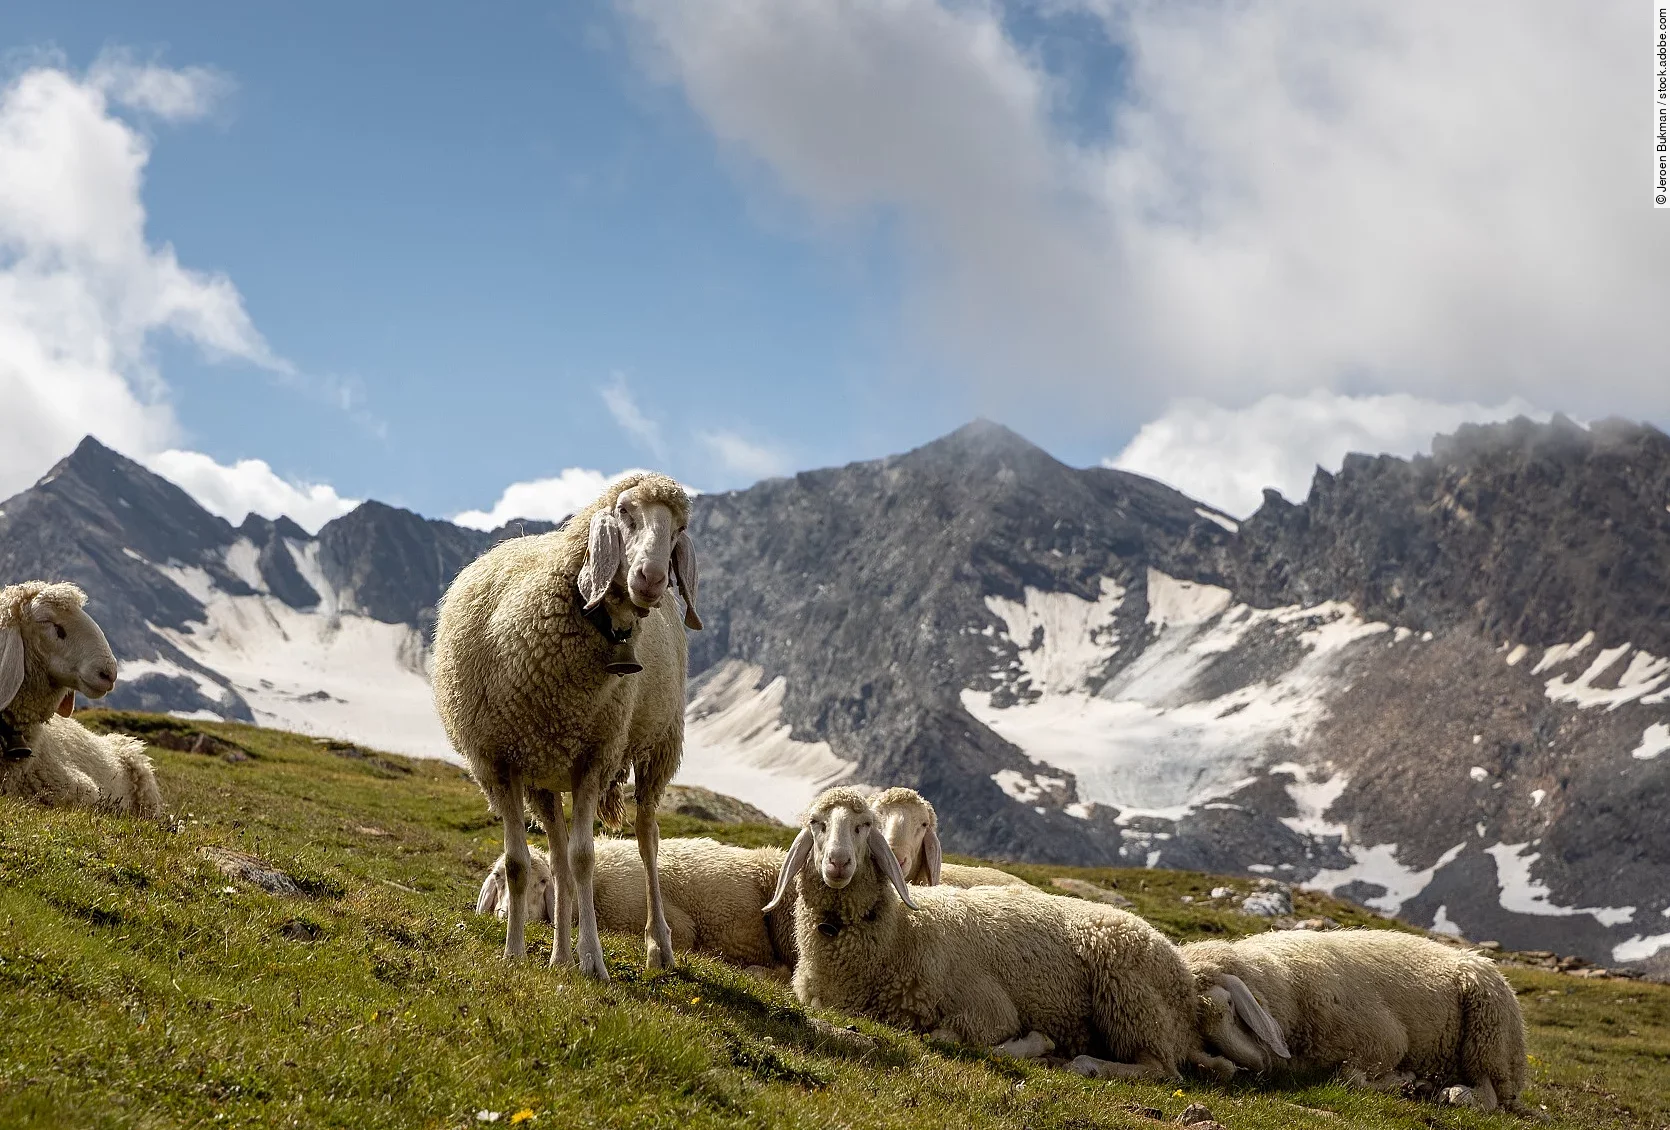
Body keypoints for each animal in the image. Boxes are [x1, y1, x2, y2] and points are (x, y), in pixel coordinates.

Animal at [431, 472, 702, 981]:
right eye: (625, 513)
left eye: (679, 530)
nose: (653, 579)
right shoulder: (499, 765)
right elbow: (520, 864)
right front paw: (514, 952)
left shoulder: (593, 759)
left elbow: (584, 859)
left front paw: (592, 959)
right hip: (544, 776)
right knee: (556, 858)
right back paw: (558, 955)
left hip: (656, 747)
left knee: (647, 841)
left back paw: (657, 945)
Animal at [1184, 929, 1527, 1112]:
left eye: (1229, 1005)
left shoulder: (1385, 1042)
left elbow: (1348, 1078)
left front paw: (1402, 1081)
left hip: (1488, 1037)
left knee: (1490, 1094)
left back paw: (1455, 1094)